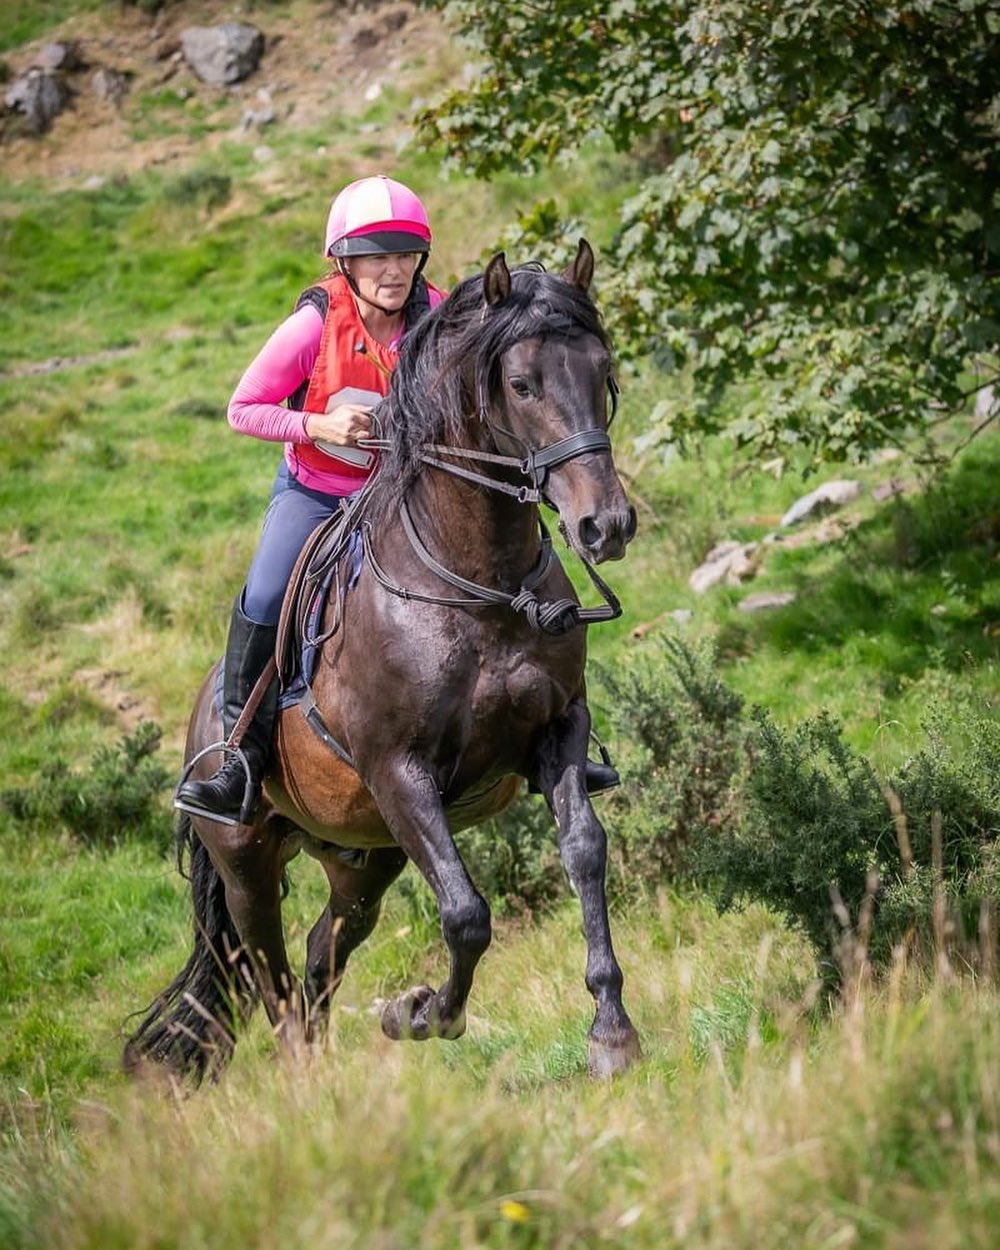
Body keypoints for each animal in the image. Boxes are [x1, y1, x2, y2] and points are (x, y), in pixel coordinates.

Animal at [124, 240, 641, 1082]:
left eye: (603, 372)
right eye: (523, 385)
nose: (606, 525)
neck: (478, 584)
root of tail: (201, 716)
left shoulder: (559, 729)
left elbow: (585, 853)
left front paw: (611, 1030)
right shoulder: (400, 771)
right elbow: (466, 915)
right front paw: (423, 1013)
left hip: (364, 856)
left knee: (320, 952)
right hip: (247, 861)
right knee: (268, 975)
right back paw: (306, 1082)